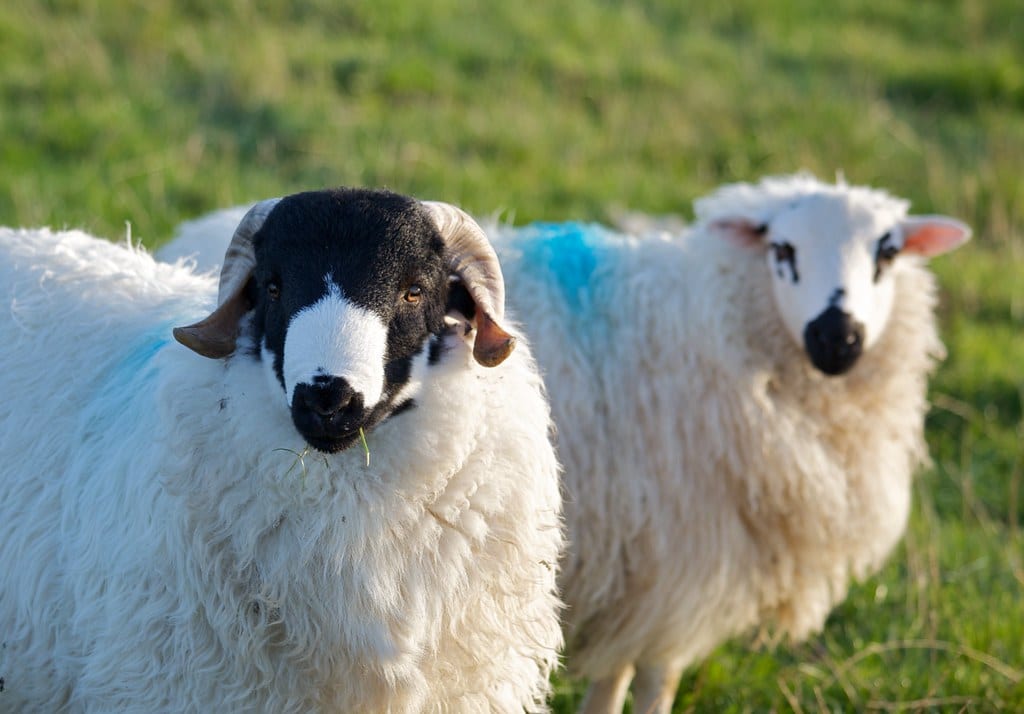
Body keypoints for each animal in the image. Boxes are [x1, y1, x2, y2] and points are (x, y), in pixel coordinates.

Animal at [160, 174, 971, 713]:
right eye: (784, 250)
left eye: (887, 254)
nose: (839, 337)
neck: (715, 321)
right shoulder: (681, 565)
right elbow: (651, 680)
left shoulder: (645, 570)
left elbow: (619, 673)